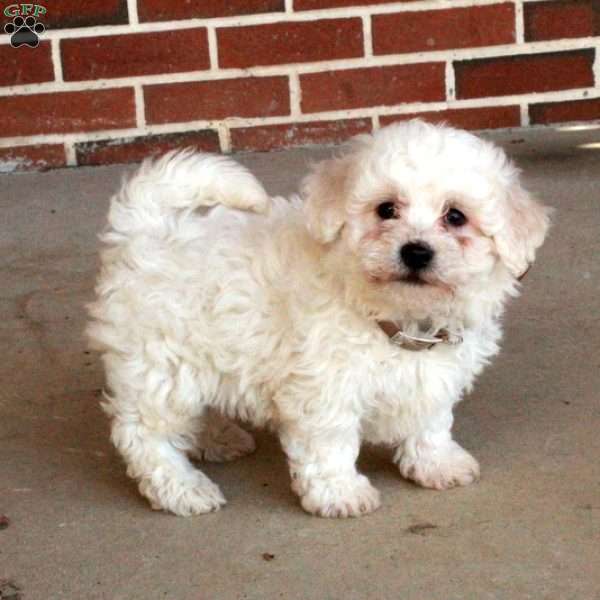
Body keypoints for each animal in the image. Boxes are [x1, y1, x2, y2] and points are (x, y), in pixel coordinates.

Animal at [86, 120, 552, 516]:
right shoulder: (324, 388)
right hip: (162, 363)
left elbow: (432, 422)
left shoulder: (434, 378)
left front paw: (437, 463)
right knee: (145, 432)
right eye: (386, 209)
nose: (416, 251)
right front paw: (340, 493)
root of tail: (144, 230)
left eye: (455, 216)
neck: (395, 317)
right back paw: (182, 489)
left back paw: (217, 437)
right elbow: (330, 443)